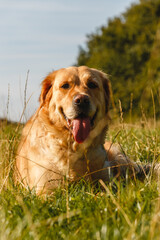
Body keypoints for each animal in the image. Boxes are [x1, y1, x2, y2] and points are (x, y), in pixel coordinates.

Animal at [15, 66, 148, 194]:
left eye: (92, 84)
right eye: (65, 86)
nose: (82, 100)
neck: (74, 147)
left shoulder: (107, 182)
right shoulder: (47, 189)